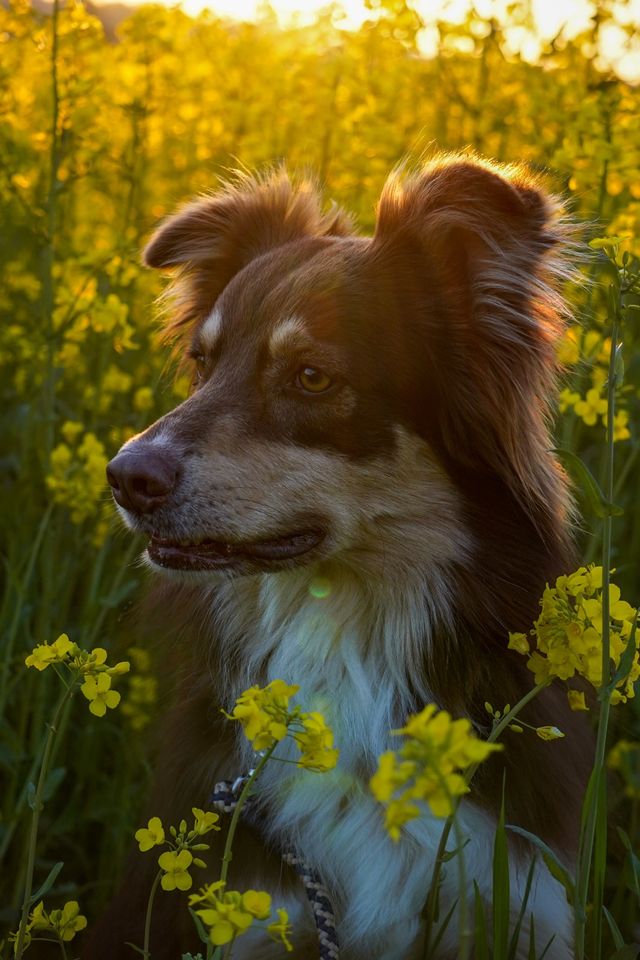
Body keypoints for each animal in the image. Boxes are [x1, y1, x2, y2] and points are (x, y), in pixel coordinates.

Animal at [92, 154, 592, 956]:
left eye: (312, 377)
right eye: (204, 362)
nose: (124, 477)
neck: (345, 638)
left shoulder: (512, 902)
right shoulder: (249, 911)